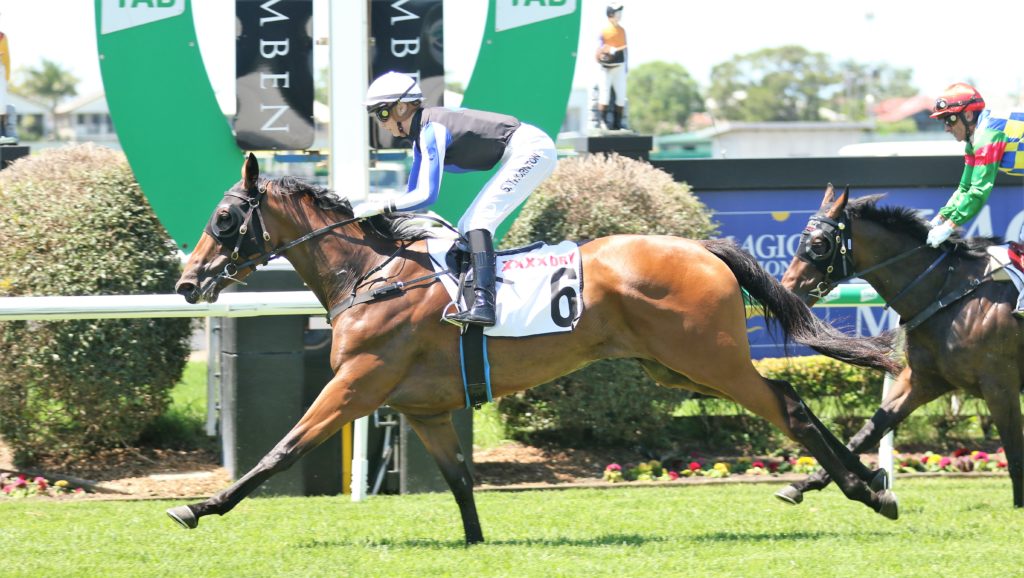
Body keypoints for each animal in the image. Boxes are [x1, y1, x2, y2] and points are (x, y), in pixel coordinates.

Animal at [167, 154, 903, 543]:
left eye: (224, 220)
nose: (186, 282)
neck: (369, 275)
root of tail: (699, 247)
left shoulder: (356, 384)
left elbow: (281, 450)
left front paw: (199, 507)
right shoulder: (424, 408)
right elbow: (460, 479)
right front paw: (475, 541)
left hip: (709, 358)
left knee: (789, 407)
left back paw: (866, 491)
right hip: (676, 369)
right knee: (787, 399)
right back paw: (869, 486)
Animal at [776, 184, 1023, 509]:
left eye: (819, 243)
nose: (786, 288)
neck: (946, 294)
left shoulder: (1000, 385)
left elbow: (1014, 449)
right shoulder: (923, 380)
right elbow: (868, 431)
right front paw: (804, 484)